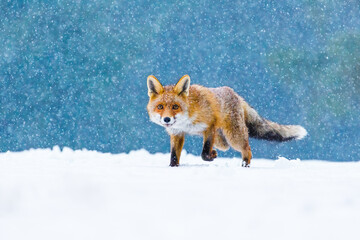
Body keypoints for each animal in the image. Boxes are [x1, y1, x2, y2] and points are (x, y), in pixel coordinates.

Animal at [146, 74, 306, 167]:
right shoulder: (177, 133)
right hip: (221, 139)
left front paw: (209, 157)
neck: (186, 120)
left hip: (233, 136)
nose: (167, 119)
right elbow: (174, 156)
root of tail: (235, 94)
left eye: (175, 106)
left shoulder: (209, 126)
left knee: (247, 148)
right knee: (225, 146)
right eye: (160, 107)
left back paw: (245, 164)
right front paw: (173, 167)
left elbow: (204, 153)